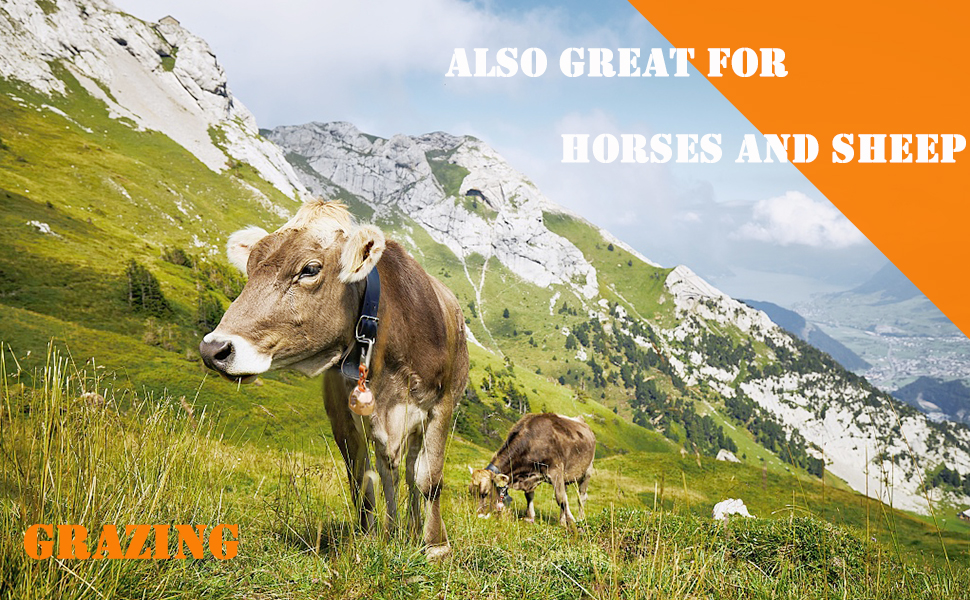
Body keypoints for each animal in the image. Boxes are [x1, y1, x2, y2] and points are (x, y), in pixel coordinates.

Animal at [198, 199, 468, 559]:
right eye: (251, 267)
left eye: (310, 269)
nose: (213, 349)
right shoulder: (343, 413)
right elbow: (361, 478)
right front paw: (370, 539)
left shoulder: (442, 405)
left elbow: (430, 479)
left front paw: (436, 545)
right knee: (390, 470)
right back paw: (396, 530)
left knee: (411, 473)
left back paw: (412, 530)